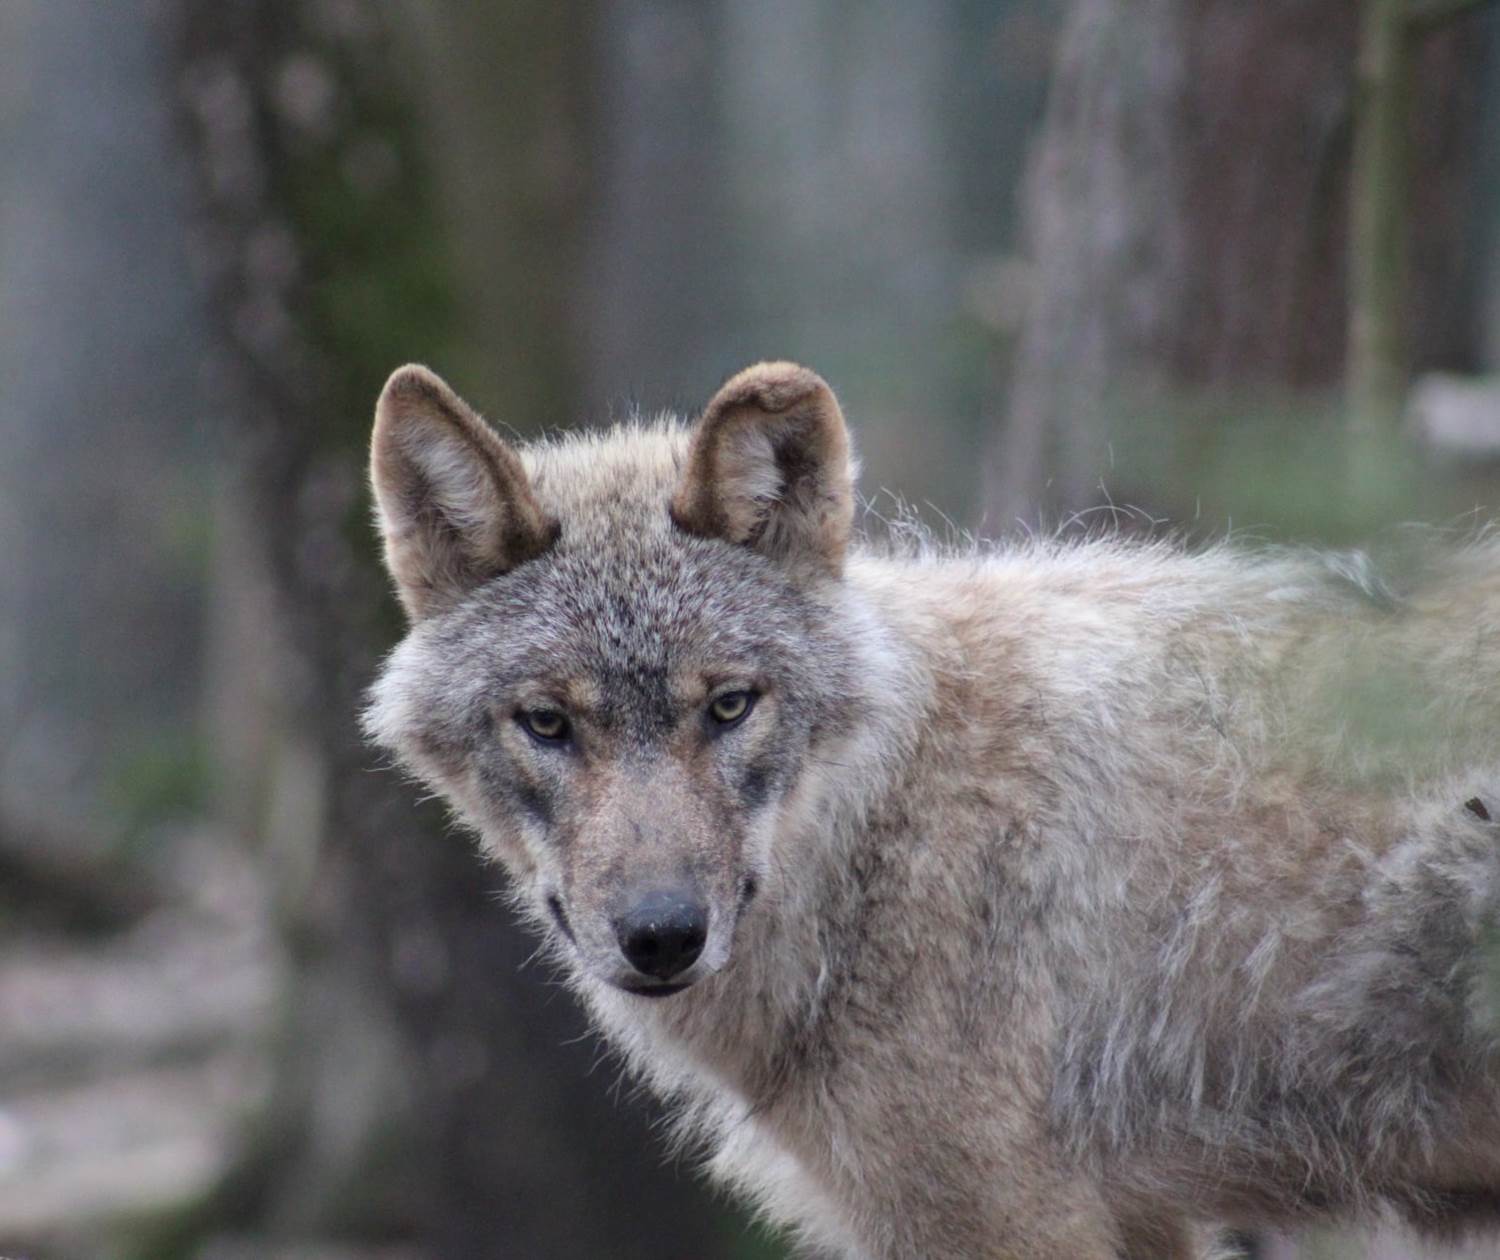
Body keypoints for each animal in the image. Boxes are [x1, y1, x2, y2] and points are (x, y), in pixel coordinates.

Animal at [364, 360, 1500, 1259]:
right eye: (548, 724)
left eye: (729, 706)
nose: (661, 936)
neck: (884, 829)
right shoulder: (1138, 1222)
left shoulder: (1005, 1226)